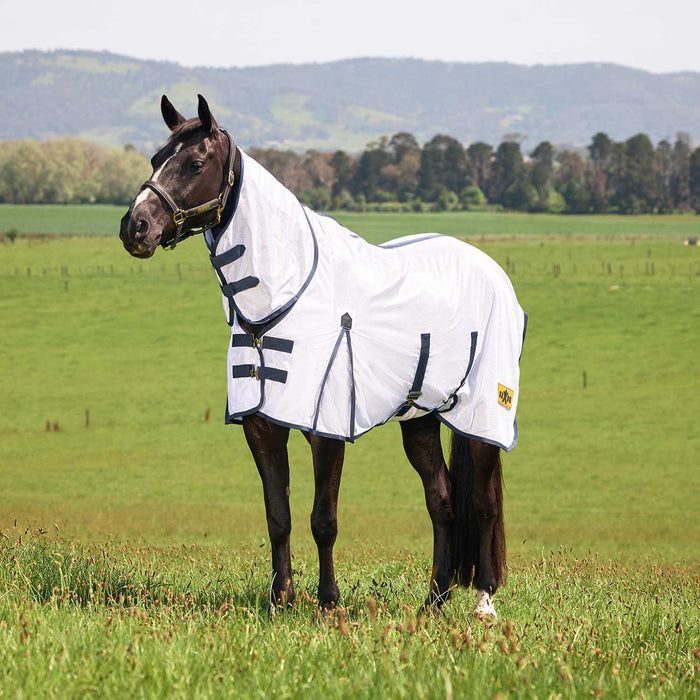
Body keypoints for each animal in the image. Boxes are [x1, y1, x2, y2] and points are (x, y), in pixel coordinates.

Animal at [119, 95, 526, 620]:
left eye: (194, 163)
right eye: (154, 159)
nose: (135, 227)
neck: (285, 294)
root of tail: (491, 269)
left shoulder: (326, 429)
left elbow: (323, 519)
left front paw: (329, 603)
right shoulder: (262, 426)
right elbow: (278, 516)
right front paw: (280, 600)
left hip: (484, 417)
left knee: (482, 504)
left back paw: (483, 603)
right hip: (419, 419)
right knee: (442, 502)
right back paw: (433, 603)